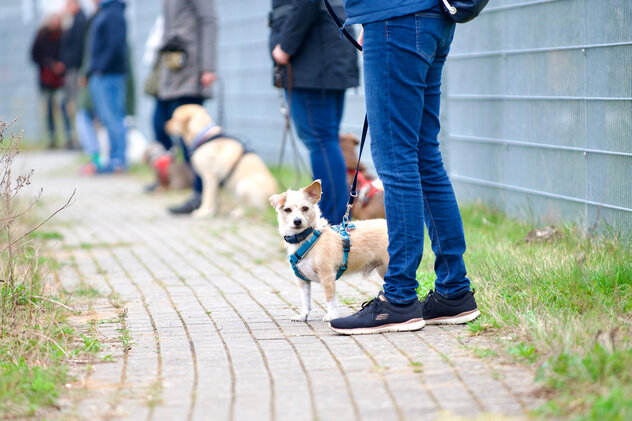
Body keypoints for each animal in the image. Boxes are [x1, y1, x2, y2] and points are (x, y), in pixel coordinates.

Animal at [268, 179, 388, 320]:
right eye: (287, 210)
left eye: (305, 208)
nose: (297, 221)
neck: (307, 238)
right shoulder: (302, 281)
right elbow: (305, 300)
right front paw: (303, 315)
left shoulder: (327, 276)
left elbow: (330, 298)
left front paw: (331, 315)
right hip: (382, 270)